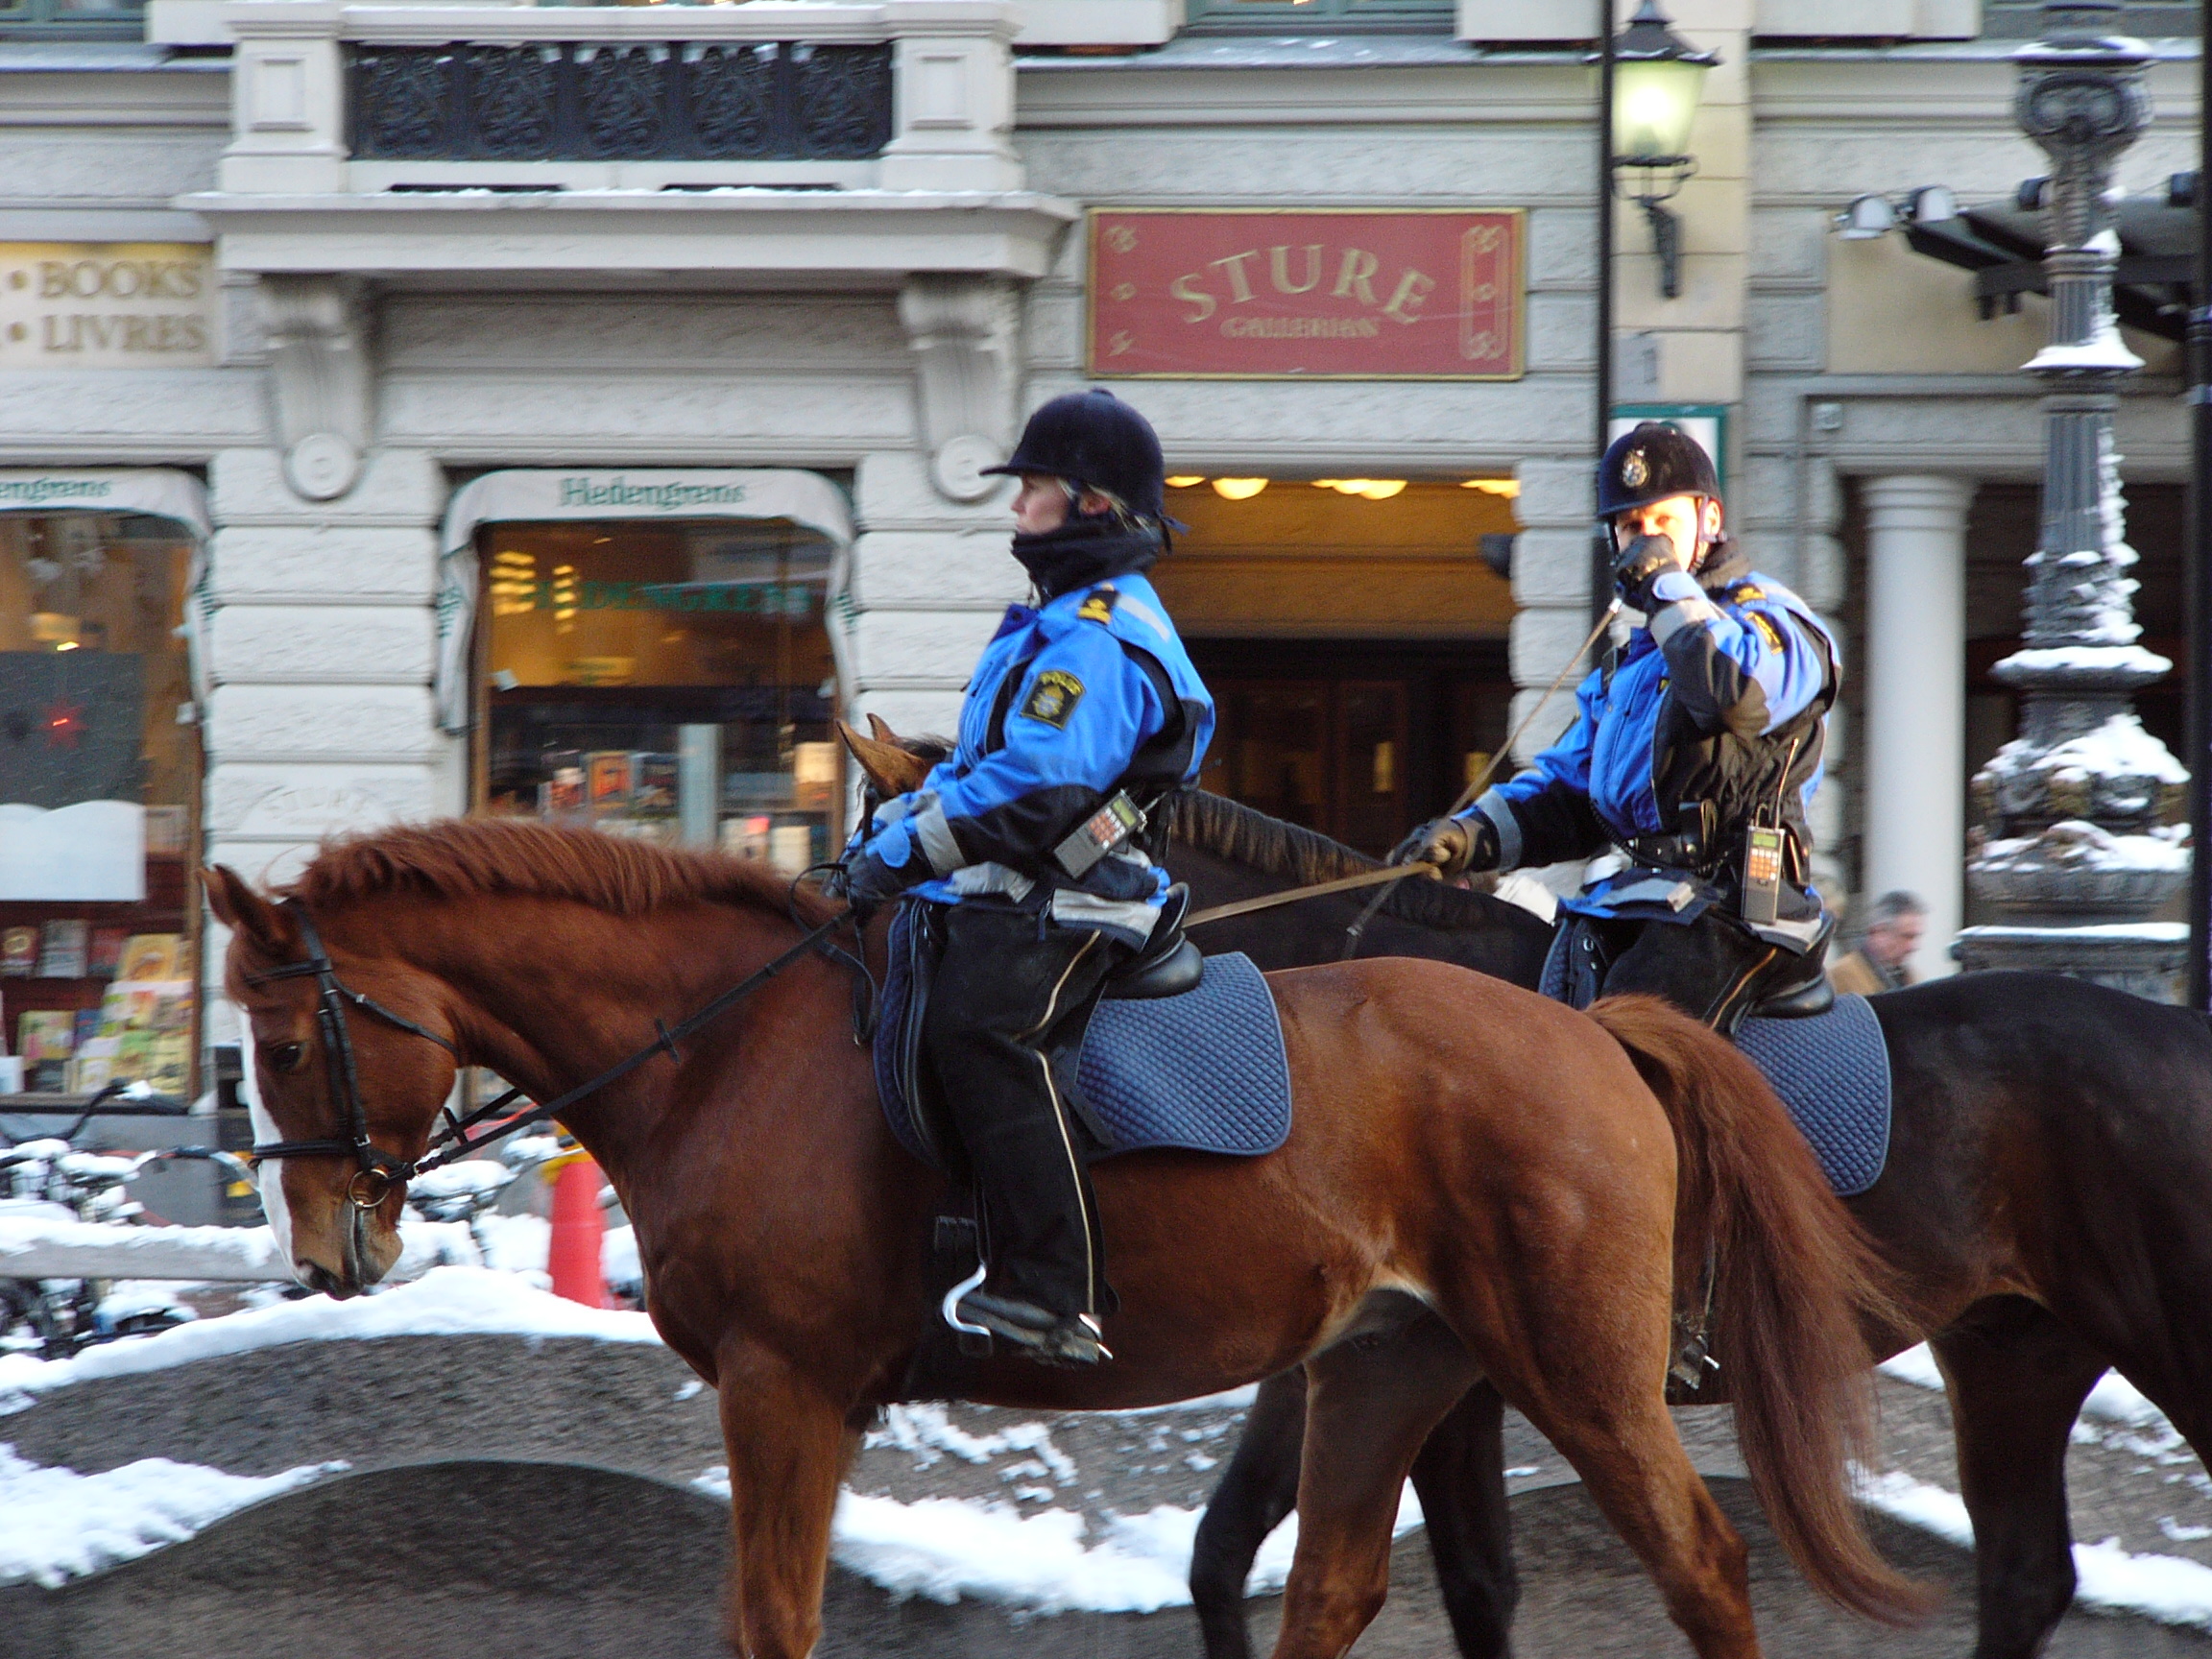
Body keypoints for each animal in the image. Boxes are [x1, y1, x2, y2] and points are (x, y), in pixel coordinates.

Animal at [215, 827, 1929, 1654]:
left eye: (285, 1045)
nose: (322, 1249)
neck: (727, 1047)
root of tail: (1599, 1033)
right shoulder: (796, 1404)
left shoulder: (785, 1388)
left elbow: (772, 1619)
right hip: (1390, 1367)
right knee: (1330, 1593)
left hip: (1578, 1373)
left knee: (1704, 1563)